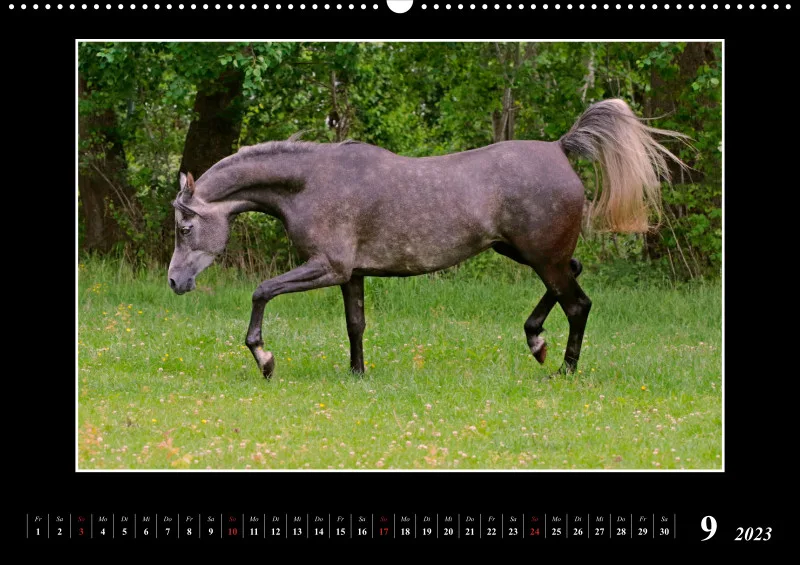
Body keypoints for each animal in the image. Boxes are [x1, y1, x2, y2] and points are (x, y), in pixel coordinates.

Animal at [168, 98, 687, 379]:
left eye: (185, 227)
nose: (174, 283)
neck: (312, 182)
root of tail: (560, 148)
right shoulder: (350, 273)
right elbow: (355, 324)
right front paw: (357, 374)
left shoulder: (327, 266)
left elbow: (262, 292)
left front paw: (265, 358)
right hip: (527, 252)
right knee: (570, 281)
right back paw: (536, 340)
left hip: (542, 256)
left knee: (578, 303)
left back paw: (563, 368)